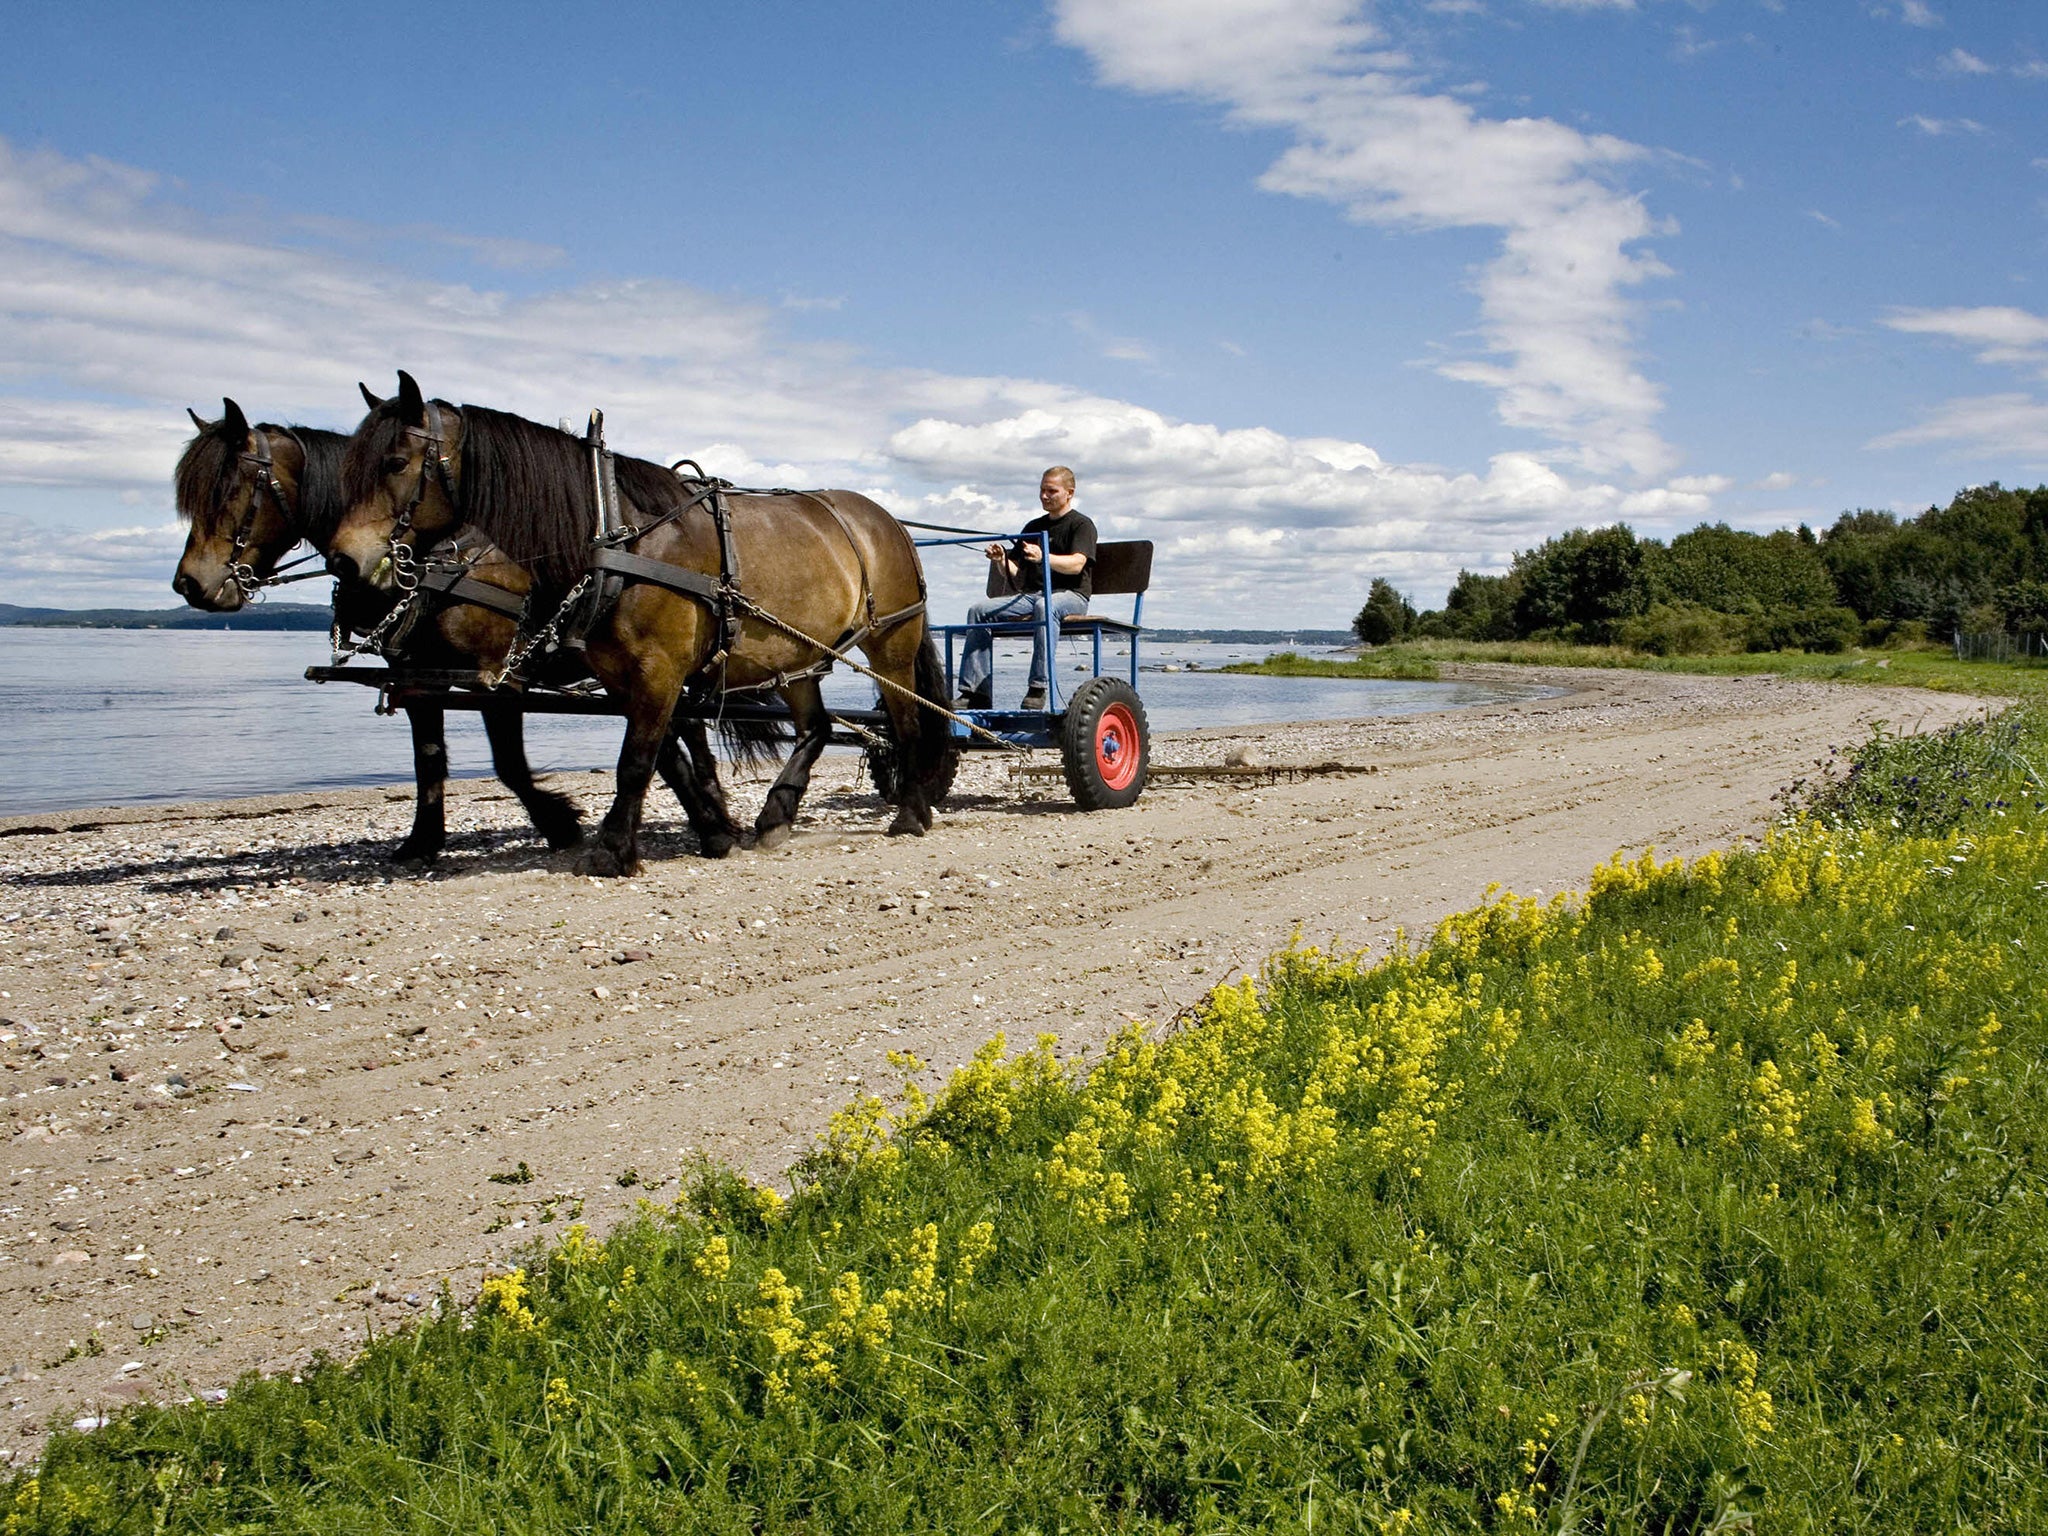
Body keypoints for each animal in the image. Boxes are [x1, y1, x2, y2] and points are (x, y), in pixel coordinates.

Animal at [167, 399, 585, 868]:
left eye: (227, 490)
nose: (189, 584)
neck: (442, 563)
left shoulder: (497, 675)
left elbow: (508, 762)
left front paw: (560, 824)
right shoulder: (418, 676)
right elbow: (428, 759)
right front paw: (422, 840)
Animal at [329, 372, 958, 876]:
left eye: (395, 463)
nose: (343, 560)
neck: (618, 536)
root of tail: (887, 520)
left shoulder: (659, 669)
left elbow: (636, 761)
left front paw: (611, 851)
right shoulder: (623, 675)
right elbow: (666, 759)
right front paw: (712, 832)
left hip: (891, 643)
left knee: (907, 721)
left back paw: (911, 812)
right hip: (796, 653)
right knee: (816, 729)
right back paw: (776, 816)